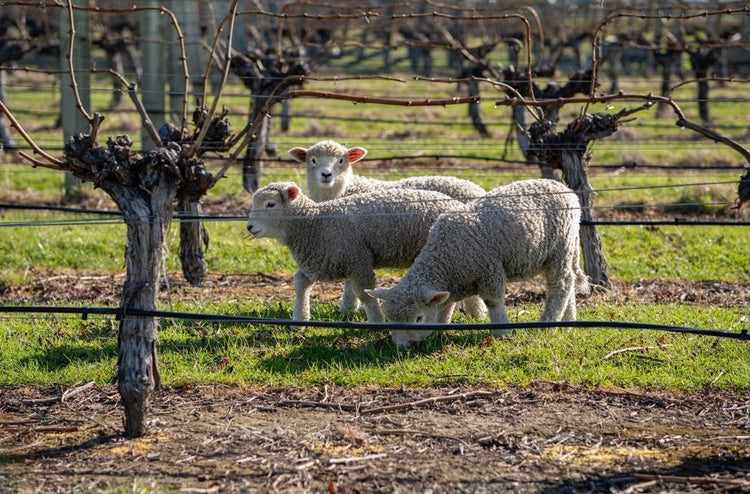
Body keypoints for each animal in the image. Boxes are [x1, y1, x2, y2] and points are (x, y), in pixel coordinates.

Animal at [247, 181, 468, 324]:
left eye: (270, 204)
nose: (249, 227)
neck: (314, 223)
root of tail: (456, 204)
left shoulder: (358, 262)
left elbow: (365, 295)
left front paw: (377, 322)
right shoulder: (320, 260)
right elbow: (300, 284)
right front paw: (299, 319)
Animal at [288, 139, 488, 314]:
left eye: (341, 161)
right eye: (313, 160)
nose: (326, 175)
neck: (342, 191)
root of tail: (478, 189)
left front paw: (347, 308)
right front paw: (350, 308)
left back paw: (476, 313)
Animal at [366, 179, 592, 350]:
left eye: (419, 318)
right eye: (390, 320)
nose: (404, 347)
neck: (444, 258)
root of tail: (563, 188)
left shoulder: (490, 269)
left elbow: (493, 302)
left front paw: (501, 332)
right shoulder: (455, 282)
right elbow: (445, 306)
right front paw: (441, 330)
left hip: (560, 246)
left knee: (560, 284)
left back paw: (548, 325)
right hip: (564, 248)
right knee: (568, 282)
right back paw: (568, 323)